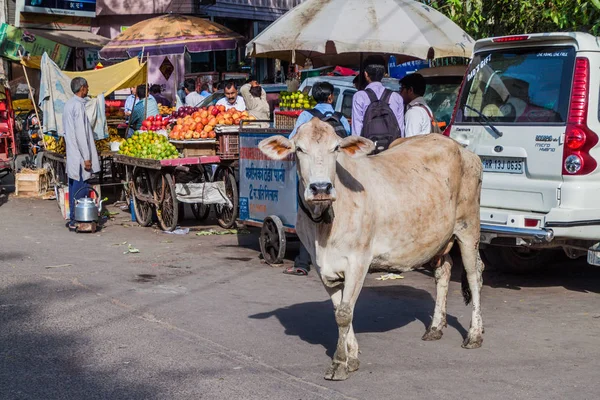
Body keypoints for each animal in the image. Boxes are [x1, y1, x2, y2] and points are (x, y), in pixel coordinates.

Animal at [260, 119, 486, 382]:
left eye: (335, 148)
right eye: (299, 149)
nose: (321, 188)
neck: (324, 224)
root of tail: (461, 148)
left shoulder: (358, 261)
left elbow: (344, 313)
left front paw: (339, 363)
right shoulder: (322, 266)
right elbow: (338, 310)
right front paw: (352, 358)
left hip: (468, 227)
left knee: (474, 275)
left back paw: (474, 334)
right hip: (439, 238)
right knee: (444, 271)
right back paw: (435, 327)